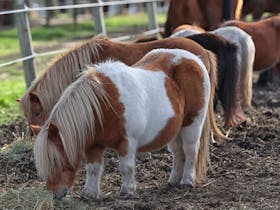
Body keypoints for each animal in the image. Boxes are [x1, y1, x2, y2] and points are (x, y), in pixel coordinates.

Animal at [32, 48, 211, 200]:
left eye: (56, 160)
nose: (55, 194)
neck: (103, 105)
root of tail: (195, 58)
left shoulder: (127, 143)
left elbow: (126, 167)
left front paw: (128, 191)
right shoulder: (93, 146)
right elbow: (93, 169)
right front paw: (89, 193)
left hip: (192, 124)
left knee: (190, 151)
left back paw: (187, 181)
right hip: (175, 130)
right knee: (177, 153)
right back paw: (173, 180)